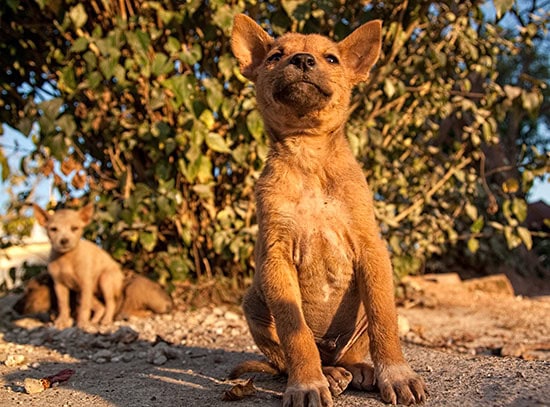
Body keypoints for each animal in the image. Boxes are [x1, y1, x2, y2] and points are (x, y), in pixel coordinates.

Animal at [231, 14, 430, 406]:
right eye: (275, 56)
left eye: (331, 58)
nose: (303, 60)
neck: (309, 156)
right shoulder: (276, 257)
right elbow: (296, 334)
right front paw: (307, 384)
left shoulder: (371, 250)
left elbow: (385, 321)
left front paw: (396, 374)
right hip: (253, 304)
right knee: (285, 358)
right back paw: (329, 374)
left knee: (352, 352)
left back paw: (359, 370)